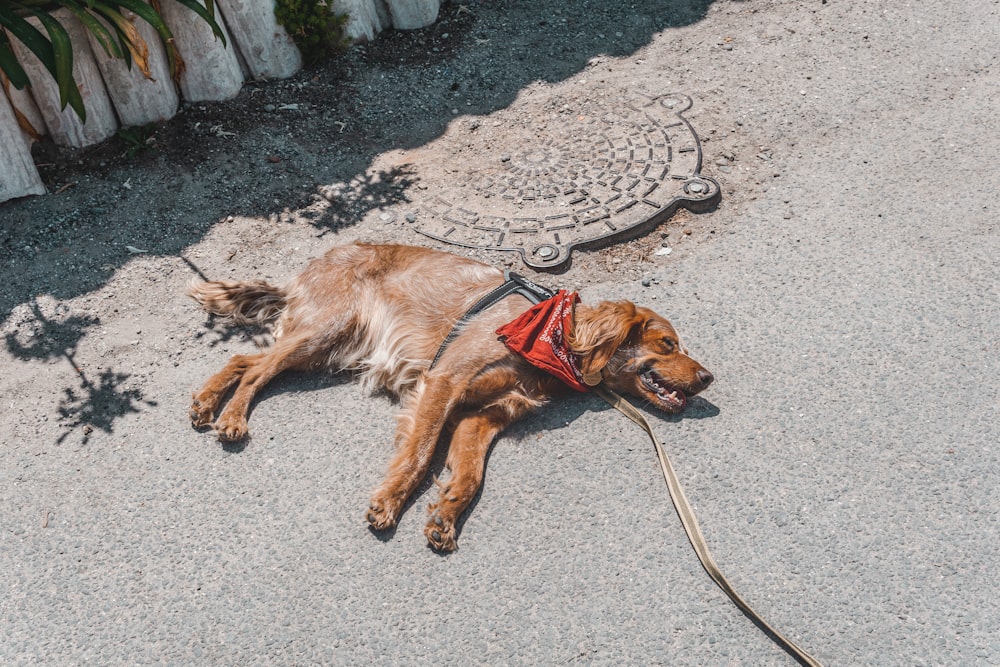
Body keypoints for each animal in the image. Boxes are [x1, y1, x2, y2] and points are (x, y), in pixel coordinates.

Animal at [188, 243, 716, 552]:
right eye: (668, 345)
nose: (709, 378)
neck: (555, 338)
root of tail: (306, 269)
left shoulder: (483, 416)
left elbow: (469, 476)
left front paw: (444, 516)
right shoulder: (444, 382)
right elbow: (420, 454)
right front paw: (389, 503)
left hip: (328, 348)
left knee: (243, 359)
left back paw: (206, 403)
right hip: (327, 330)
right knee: (256, 369)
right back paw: (232, 418)